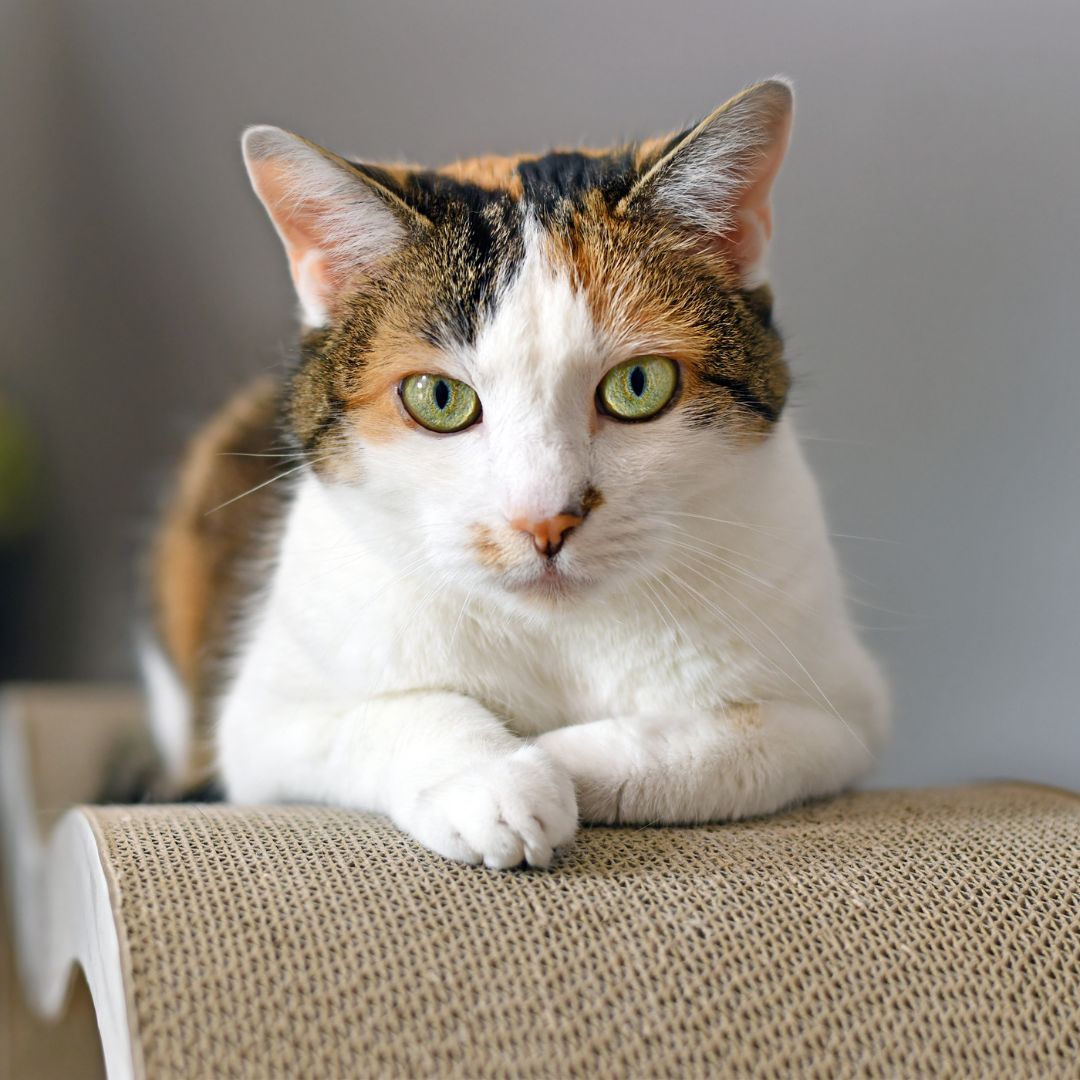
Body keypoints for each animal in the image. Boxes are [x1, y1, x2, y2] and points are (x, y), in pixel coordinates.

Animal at [141, 76, 885, 868]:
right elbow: (400, 711)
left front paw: (556, 761)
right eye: (439, 398)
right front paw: (494, 780)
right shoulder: (261, 725)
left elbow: (714, 736)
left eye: (639, 385)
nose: (545, 519)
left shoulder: (844, 716)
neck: (555, 639)